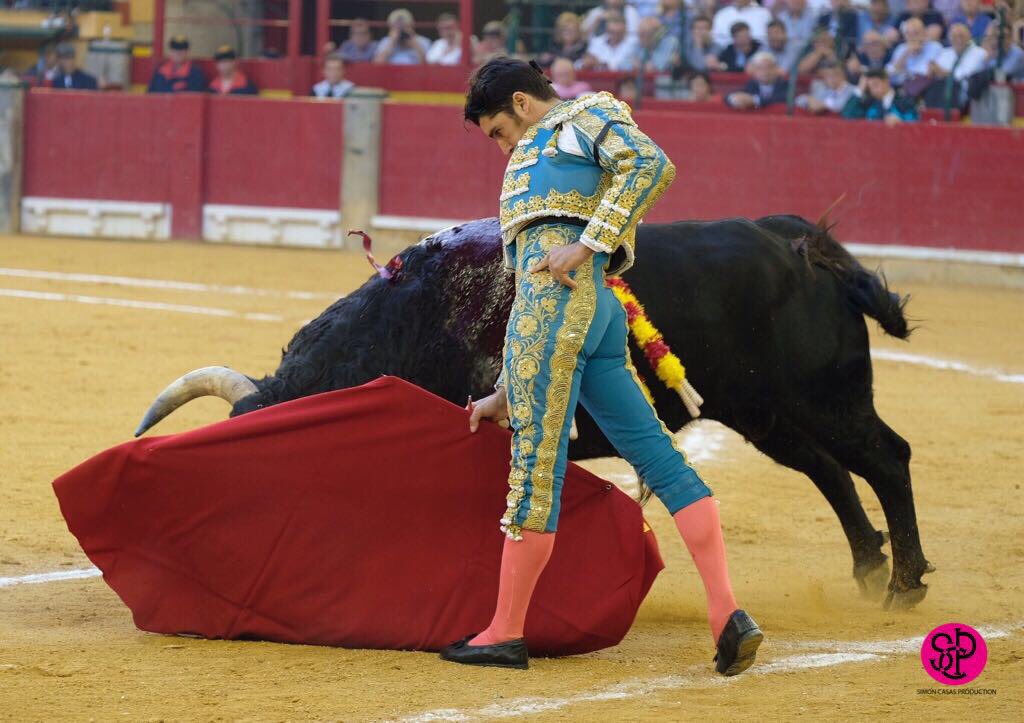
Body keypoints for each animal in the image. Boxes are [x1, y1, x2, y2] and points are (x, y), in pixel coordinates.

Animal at [138, 214, 937, 606]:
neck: (411, 321)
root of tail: (800, 244)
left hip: (825, 397)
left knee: (885, 457)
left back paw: (903, 585)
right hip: (767, 413)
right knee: (831, 472)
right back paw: (870, 569)